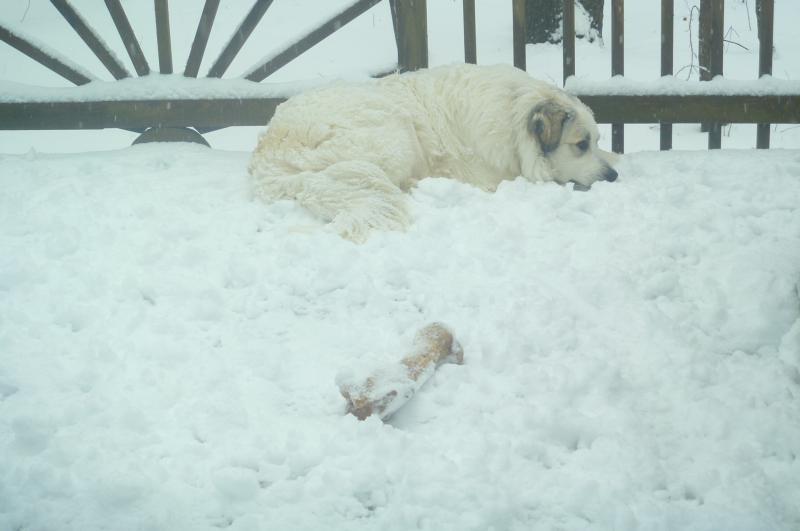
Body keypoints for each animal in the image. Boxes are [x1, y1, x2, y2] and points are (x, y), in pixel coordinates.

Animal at [250, 62, 620, 243]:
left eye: (596, 140)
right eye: (580, 144)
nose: (613, 178)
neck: (514, 112)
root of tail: (265, 156)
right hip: (394, 136)